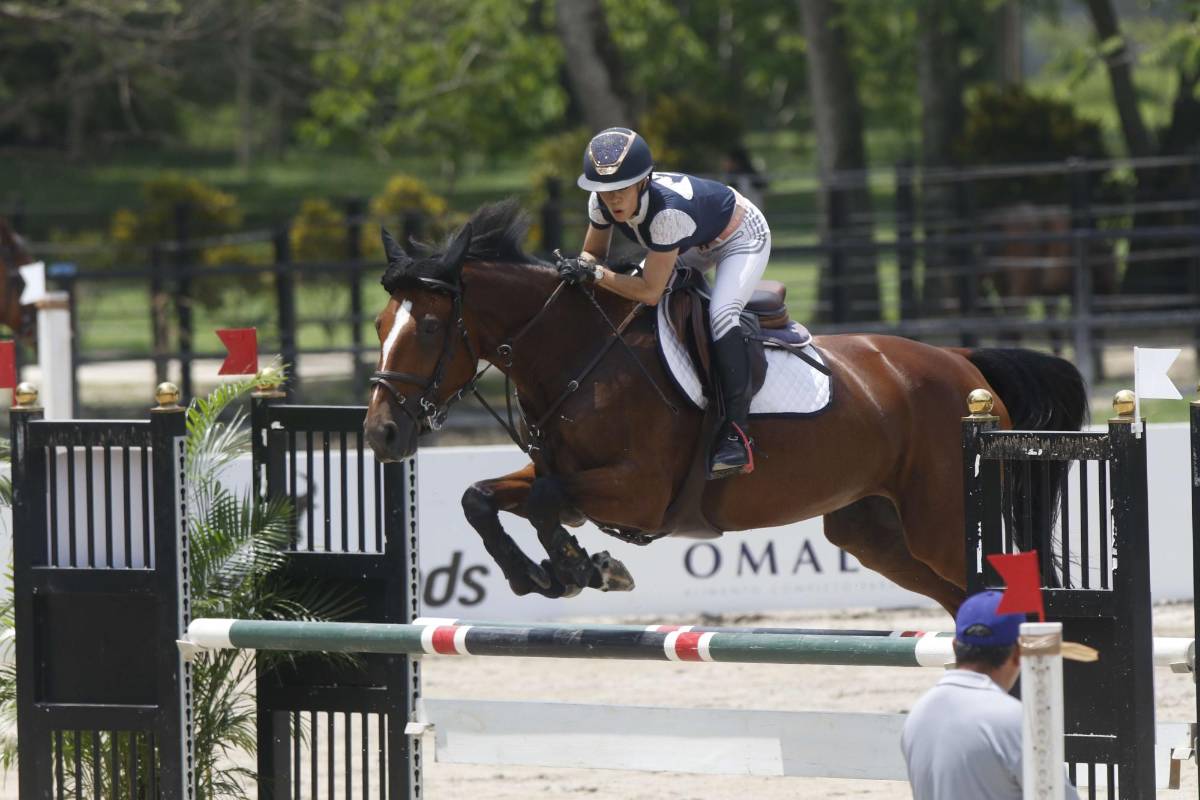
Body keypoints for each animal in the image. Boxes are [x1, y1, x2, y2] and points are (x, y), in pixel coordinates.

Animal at [363, 200, 1087, 614]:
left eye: (431, 328)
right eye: (378, 324)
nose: (381, 434)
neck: (579, 354)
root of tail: (965, 365)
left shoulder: (640, 491)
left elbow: (543, 504)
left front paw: (578, 569)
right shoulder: (560, 472)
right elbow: (481, 499)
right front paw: (549, 576)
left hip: (941, 523)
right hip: (878, 533)